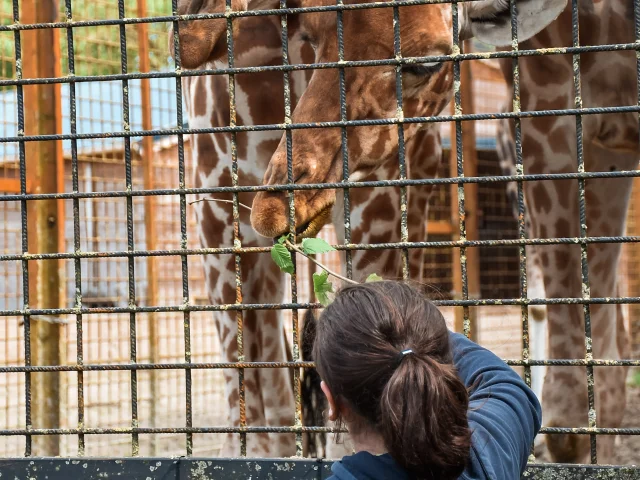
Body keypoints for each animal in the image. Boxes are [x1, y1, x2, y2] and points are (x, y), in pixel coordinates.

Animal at [170, 0, 564, 460]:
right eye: (310, 34)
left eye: (425, 62)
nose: (275, 206)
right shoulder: (217, 198)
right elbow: (254, 415)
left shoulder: (384, 189)